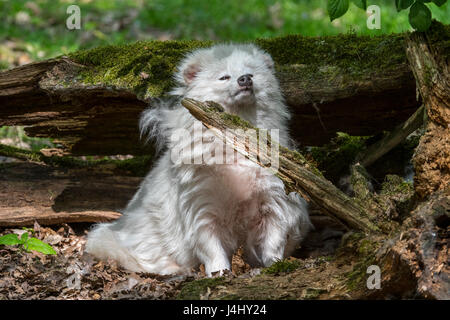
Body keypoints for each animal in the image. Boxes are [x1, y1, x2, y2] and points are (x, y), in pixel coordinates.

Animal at [87, 43, 312, 276]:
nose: (244, 79)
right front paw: (219, 273)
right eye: (224, 77)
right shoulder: (202, 208)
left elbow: (273, 240)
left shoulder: (273, 202)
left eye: (251, 74)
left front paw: (274, 264)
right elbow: (212, 248)